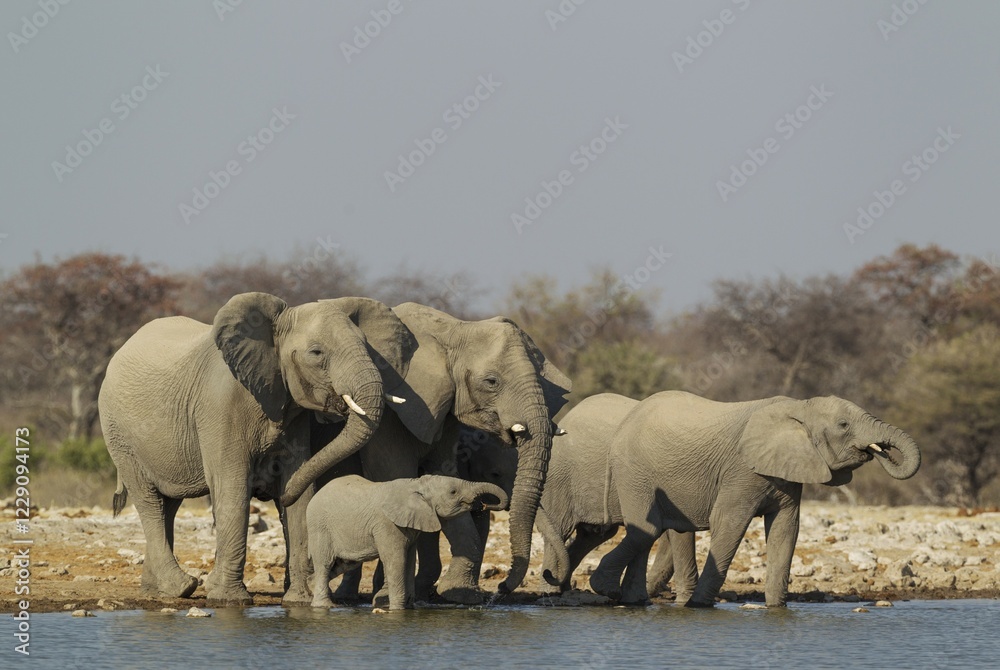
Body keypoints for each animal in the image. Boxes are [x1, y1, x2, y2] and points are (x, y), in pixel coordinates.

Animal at [99, 293, 414, 604]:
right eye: (316, 353)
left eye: (366, 345)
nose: (275, 496)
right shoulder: (219, 406)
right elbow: (232, 486)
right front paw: (228, 599)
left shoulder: (294, 415)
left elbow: (299, 490)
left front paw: (299, 601)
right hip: (118, 433)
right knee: (149, 500)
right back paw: (181, 586)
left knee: (169, 504)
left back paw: (156, 590)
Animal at [307, 475, 508, 610]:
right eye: (453, 492)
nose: (485, 505)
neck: (417, 484)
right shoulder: (387, 524)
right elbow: (397, 560)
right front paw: (397, 610)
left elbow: (410, 562)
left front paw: (409, 609)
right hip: (320, 528)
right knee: (325, 563)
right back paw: (326, 606)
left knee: (343, 564)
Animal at [589, 391, 921, 607]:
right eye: (843, 425)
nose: (880, 451)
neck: (800, 407)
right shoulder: (741, 471)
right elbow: (729, 524)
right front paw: (700, 606)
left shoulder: (788, 472)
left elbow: (786, 529)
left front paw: (776, 608)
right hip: (634, 470)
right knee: (646, 528)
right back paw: (607, 590)